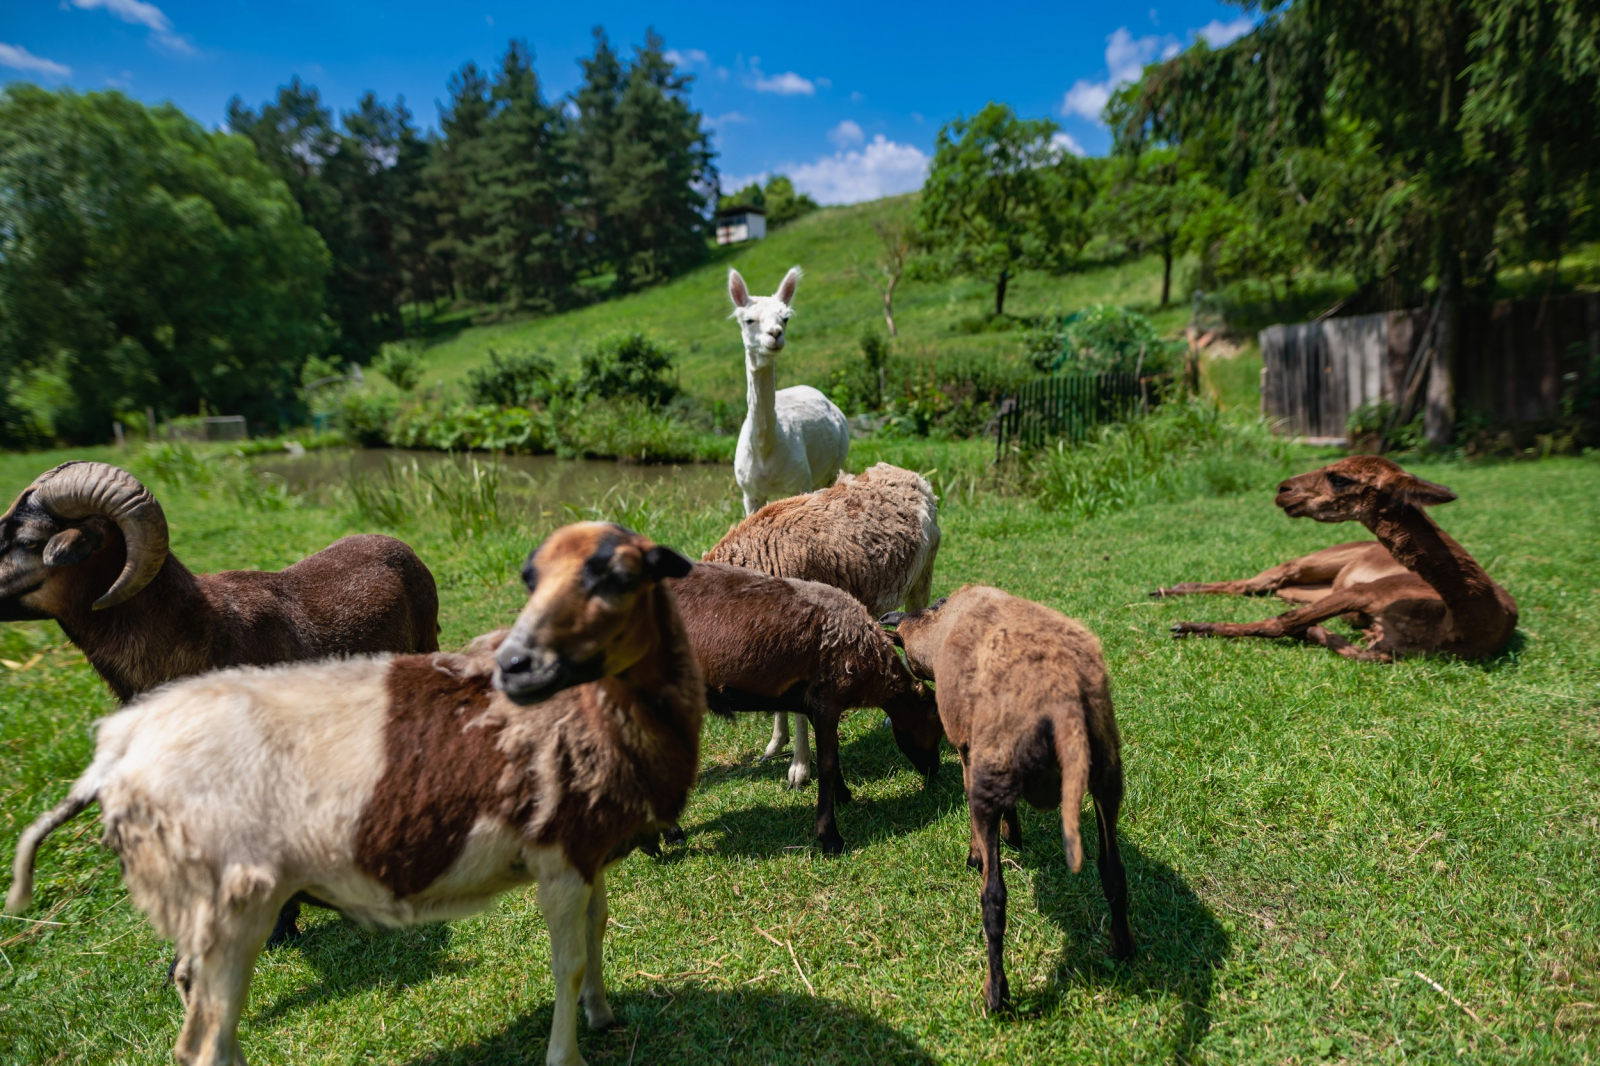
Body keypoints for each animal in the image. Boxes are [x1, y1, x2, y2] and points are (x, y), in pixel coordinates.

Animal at [4, 521, 700, 1062]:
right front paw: (571, 1049)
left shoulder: (588, 852)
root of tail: (120, 763)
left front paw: (602, 1014)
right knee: (203, 1033)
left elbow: (597, 927)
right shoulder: (557, 859)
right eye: (533, 579)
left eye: (621, 576)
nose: (519, 667)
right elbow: (567, 959)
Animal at [876, 585, 1139, 1011]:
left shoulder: (968, 750)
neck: (936, 627)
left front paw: (977, 853)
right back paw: (1123, 945)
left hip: (994, 772)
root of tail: (1062, 702)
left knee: (994, 899)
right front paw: (1013, 834)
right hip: (1107, 773)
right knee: (1113, 872)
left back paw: (996, 994)